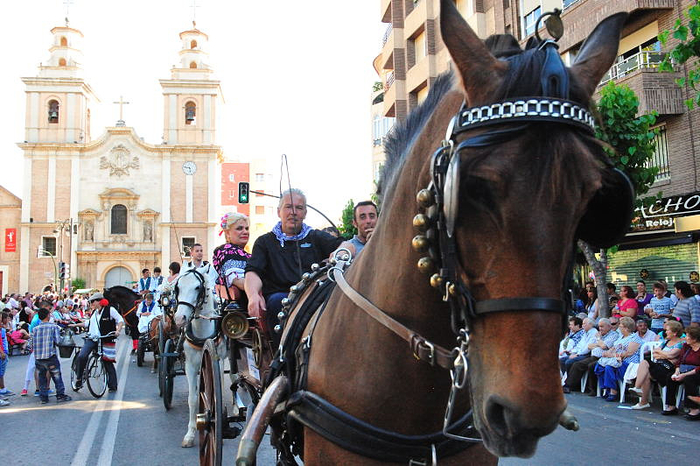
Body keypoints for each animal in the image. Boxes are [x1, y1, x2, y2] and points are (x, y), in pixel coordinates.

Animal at [174, 262, 227, 448]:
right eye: (177, 287)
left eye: (198, 287)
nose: (179, 319)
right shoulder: (190, 365)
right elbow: (193, 398)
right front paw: (190, 434)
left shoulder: (218, 361)